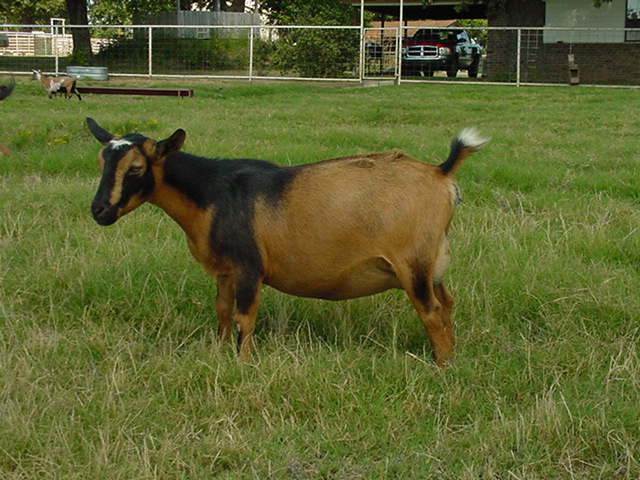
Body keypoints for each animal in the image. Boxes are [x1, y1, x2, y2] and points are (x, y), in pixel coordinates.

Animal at [87, 117, 489, 366]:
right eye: (102, 162)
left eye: (135, 168)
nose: (99, 211)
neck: (213, 193)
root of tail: (441, 172)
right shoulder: (225, 271)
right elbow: (221, 311)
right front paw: (218, 354)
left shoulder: (249, 266)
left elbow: (244, 317)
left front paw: (242, 364)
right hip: (433, 262)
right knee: (446, 303)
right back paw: (448, 357)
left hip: (412, 262)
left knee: (431, 310)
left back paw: (441, 367)